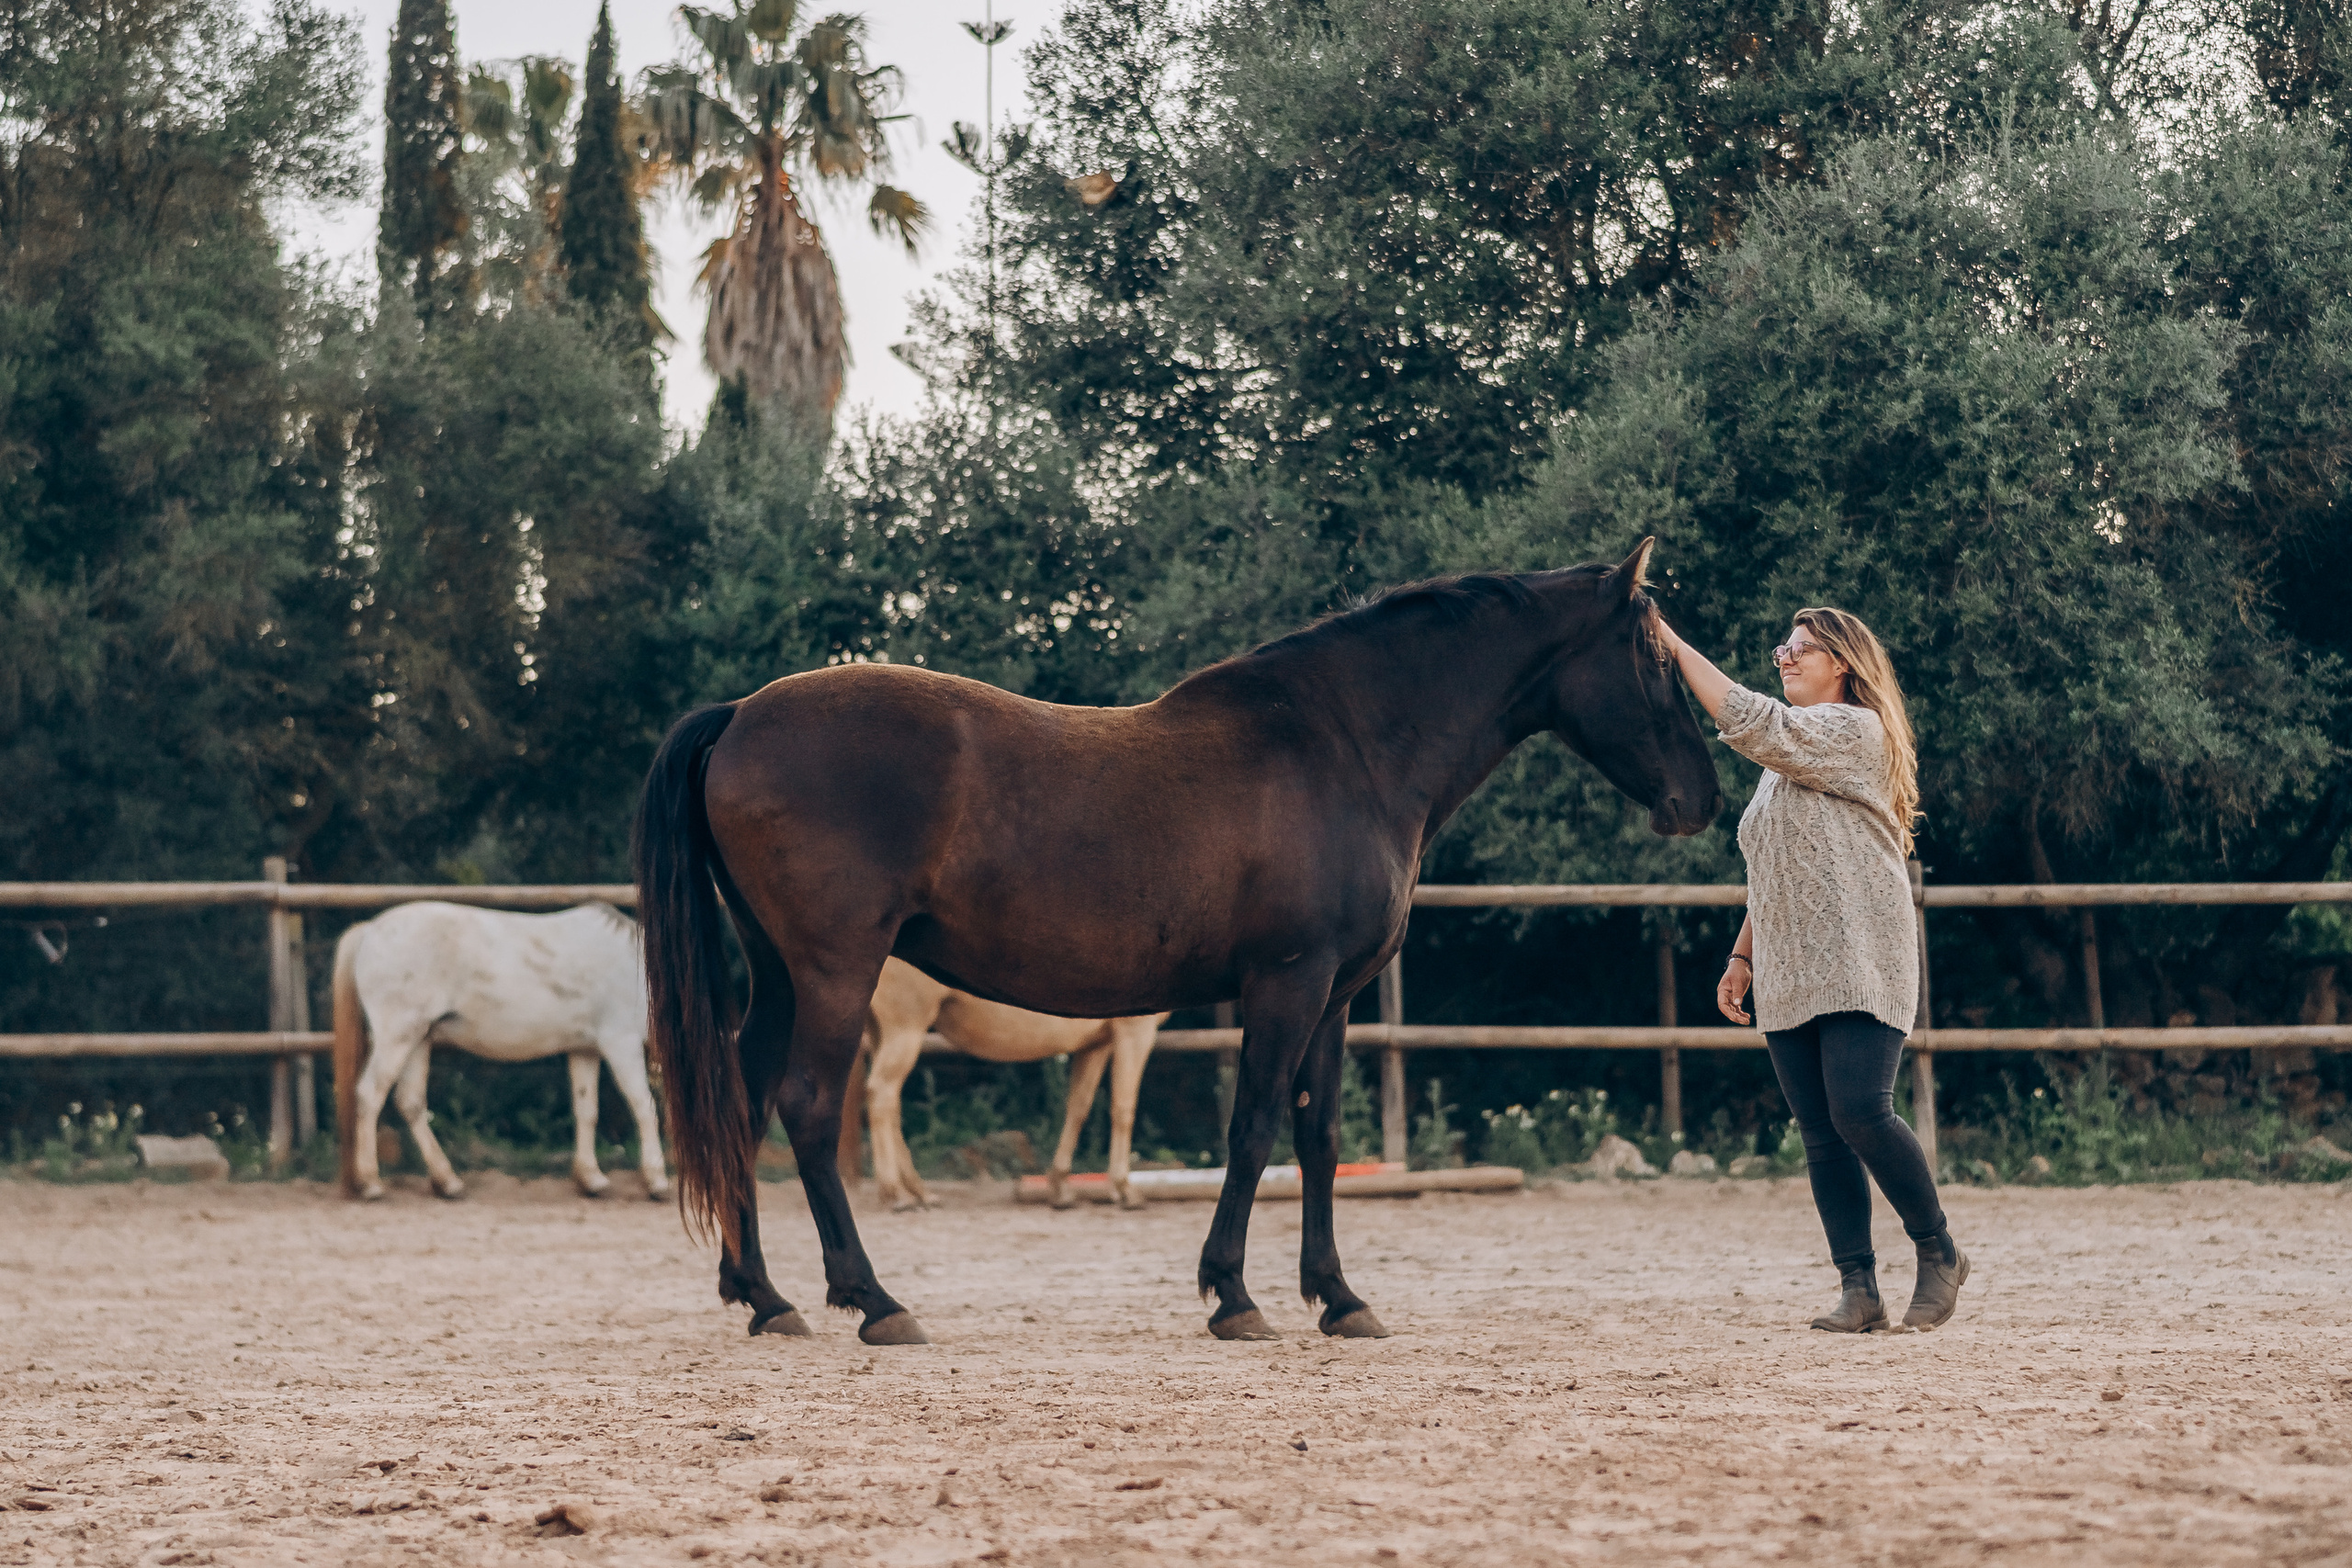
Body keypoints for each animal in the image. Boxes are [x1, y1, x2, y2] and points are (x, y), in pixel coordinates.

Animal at [331, 901, 669, 1203]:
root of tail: (370, 930)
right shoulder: (621, 1043)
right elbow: (643, 1106)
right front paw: (657, 1182)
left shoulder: (584, 1050)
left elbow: (587, 1111)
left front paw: (591, 1179)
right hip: (397, 1036)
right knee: (370, 1095)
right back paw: (372, 1184)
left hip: (418, 1039)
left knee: (411, 1103)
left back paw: (448, 1183)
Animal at [859, 957, 1169, 1212]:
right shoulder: (1134, 1031)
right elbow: (1123, 1109)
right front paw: (1126, 1191)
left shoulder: (1095, 1045)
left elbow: (1078, 1108)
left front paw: (1061, 1190)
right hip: (905, 1030)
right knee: (881, 1094)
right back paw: (897, 1195)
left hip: (881, 1033)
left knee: (891, 1104)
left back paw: (919, 1193)